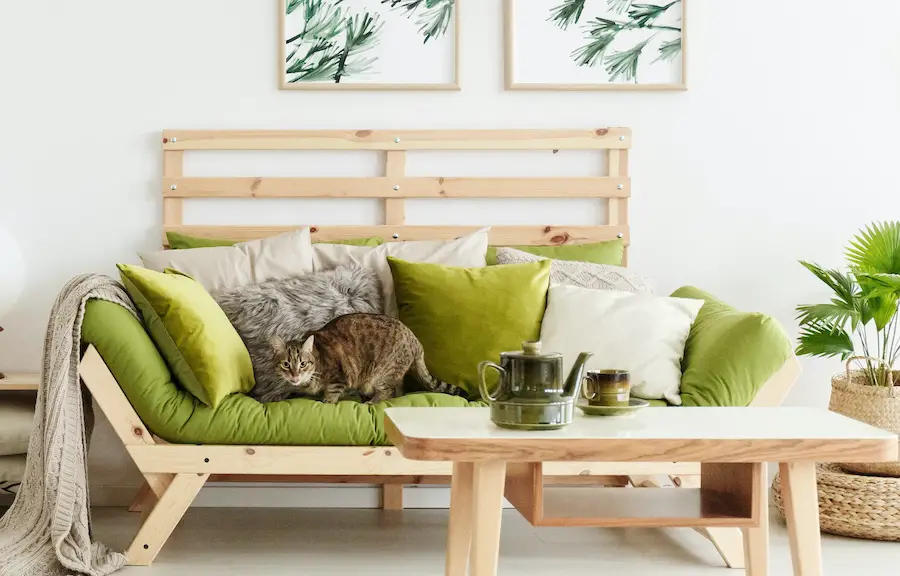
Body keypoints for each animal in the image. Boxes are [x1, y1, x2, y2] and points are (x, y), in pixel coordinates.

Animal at [268, 312, 464, 402]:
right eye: (286, 364)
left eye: (302, 364)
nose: (294, 375)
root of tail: (415, 340)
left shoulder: (339, 377)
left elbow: (331, 393)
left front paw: (326, 401)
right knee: (399, 390)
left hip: (384, 373)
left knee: (387, 392)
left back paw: (371, 402)